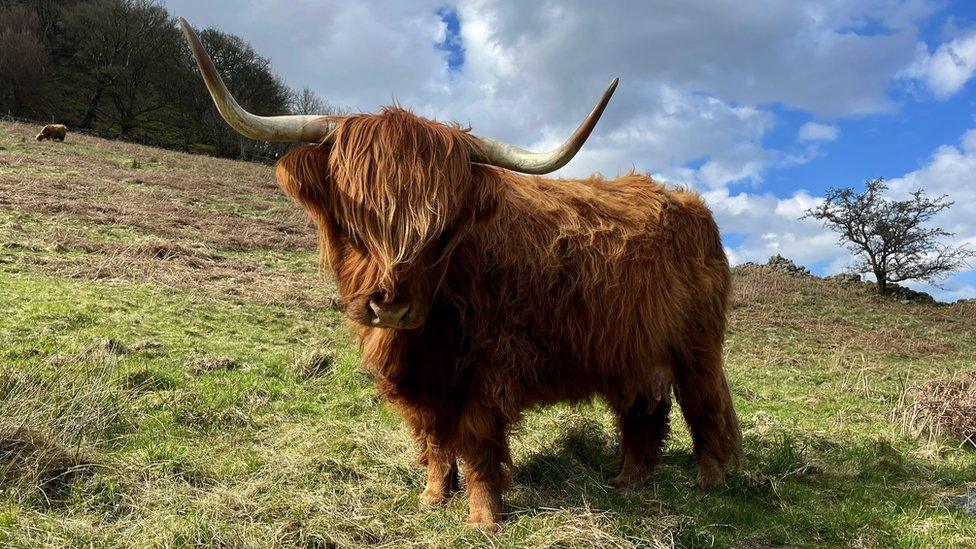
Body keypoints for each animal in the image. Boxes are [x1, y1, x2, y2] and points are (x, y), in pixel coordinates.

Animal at [181, 19, 740, 528]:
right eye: (355, 221)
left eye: (443, 227)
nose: (390, 305)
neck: (431, 326)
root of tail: (689, 203)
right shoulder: (419, 379)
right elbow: (432, 434)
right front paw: (432, 497)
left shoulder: (488, 367)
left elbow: (474, 438)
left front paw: (483, 516)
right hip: (630, 349)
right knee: (644, 407)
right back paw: (629, 480)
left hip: (696, 345)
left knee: (704, 404)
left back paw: (709, 483)